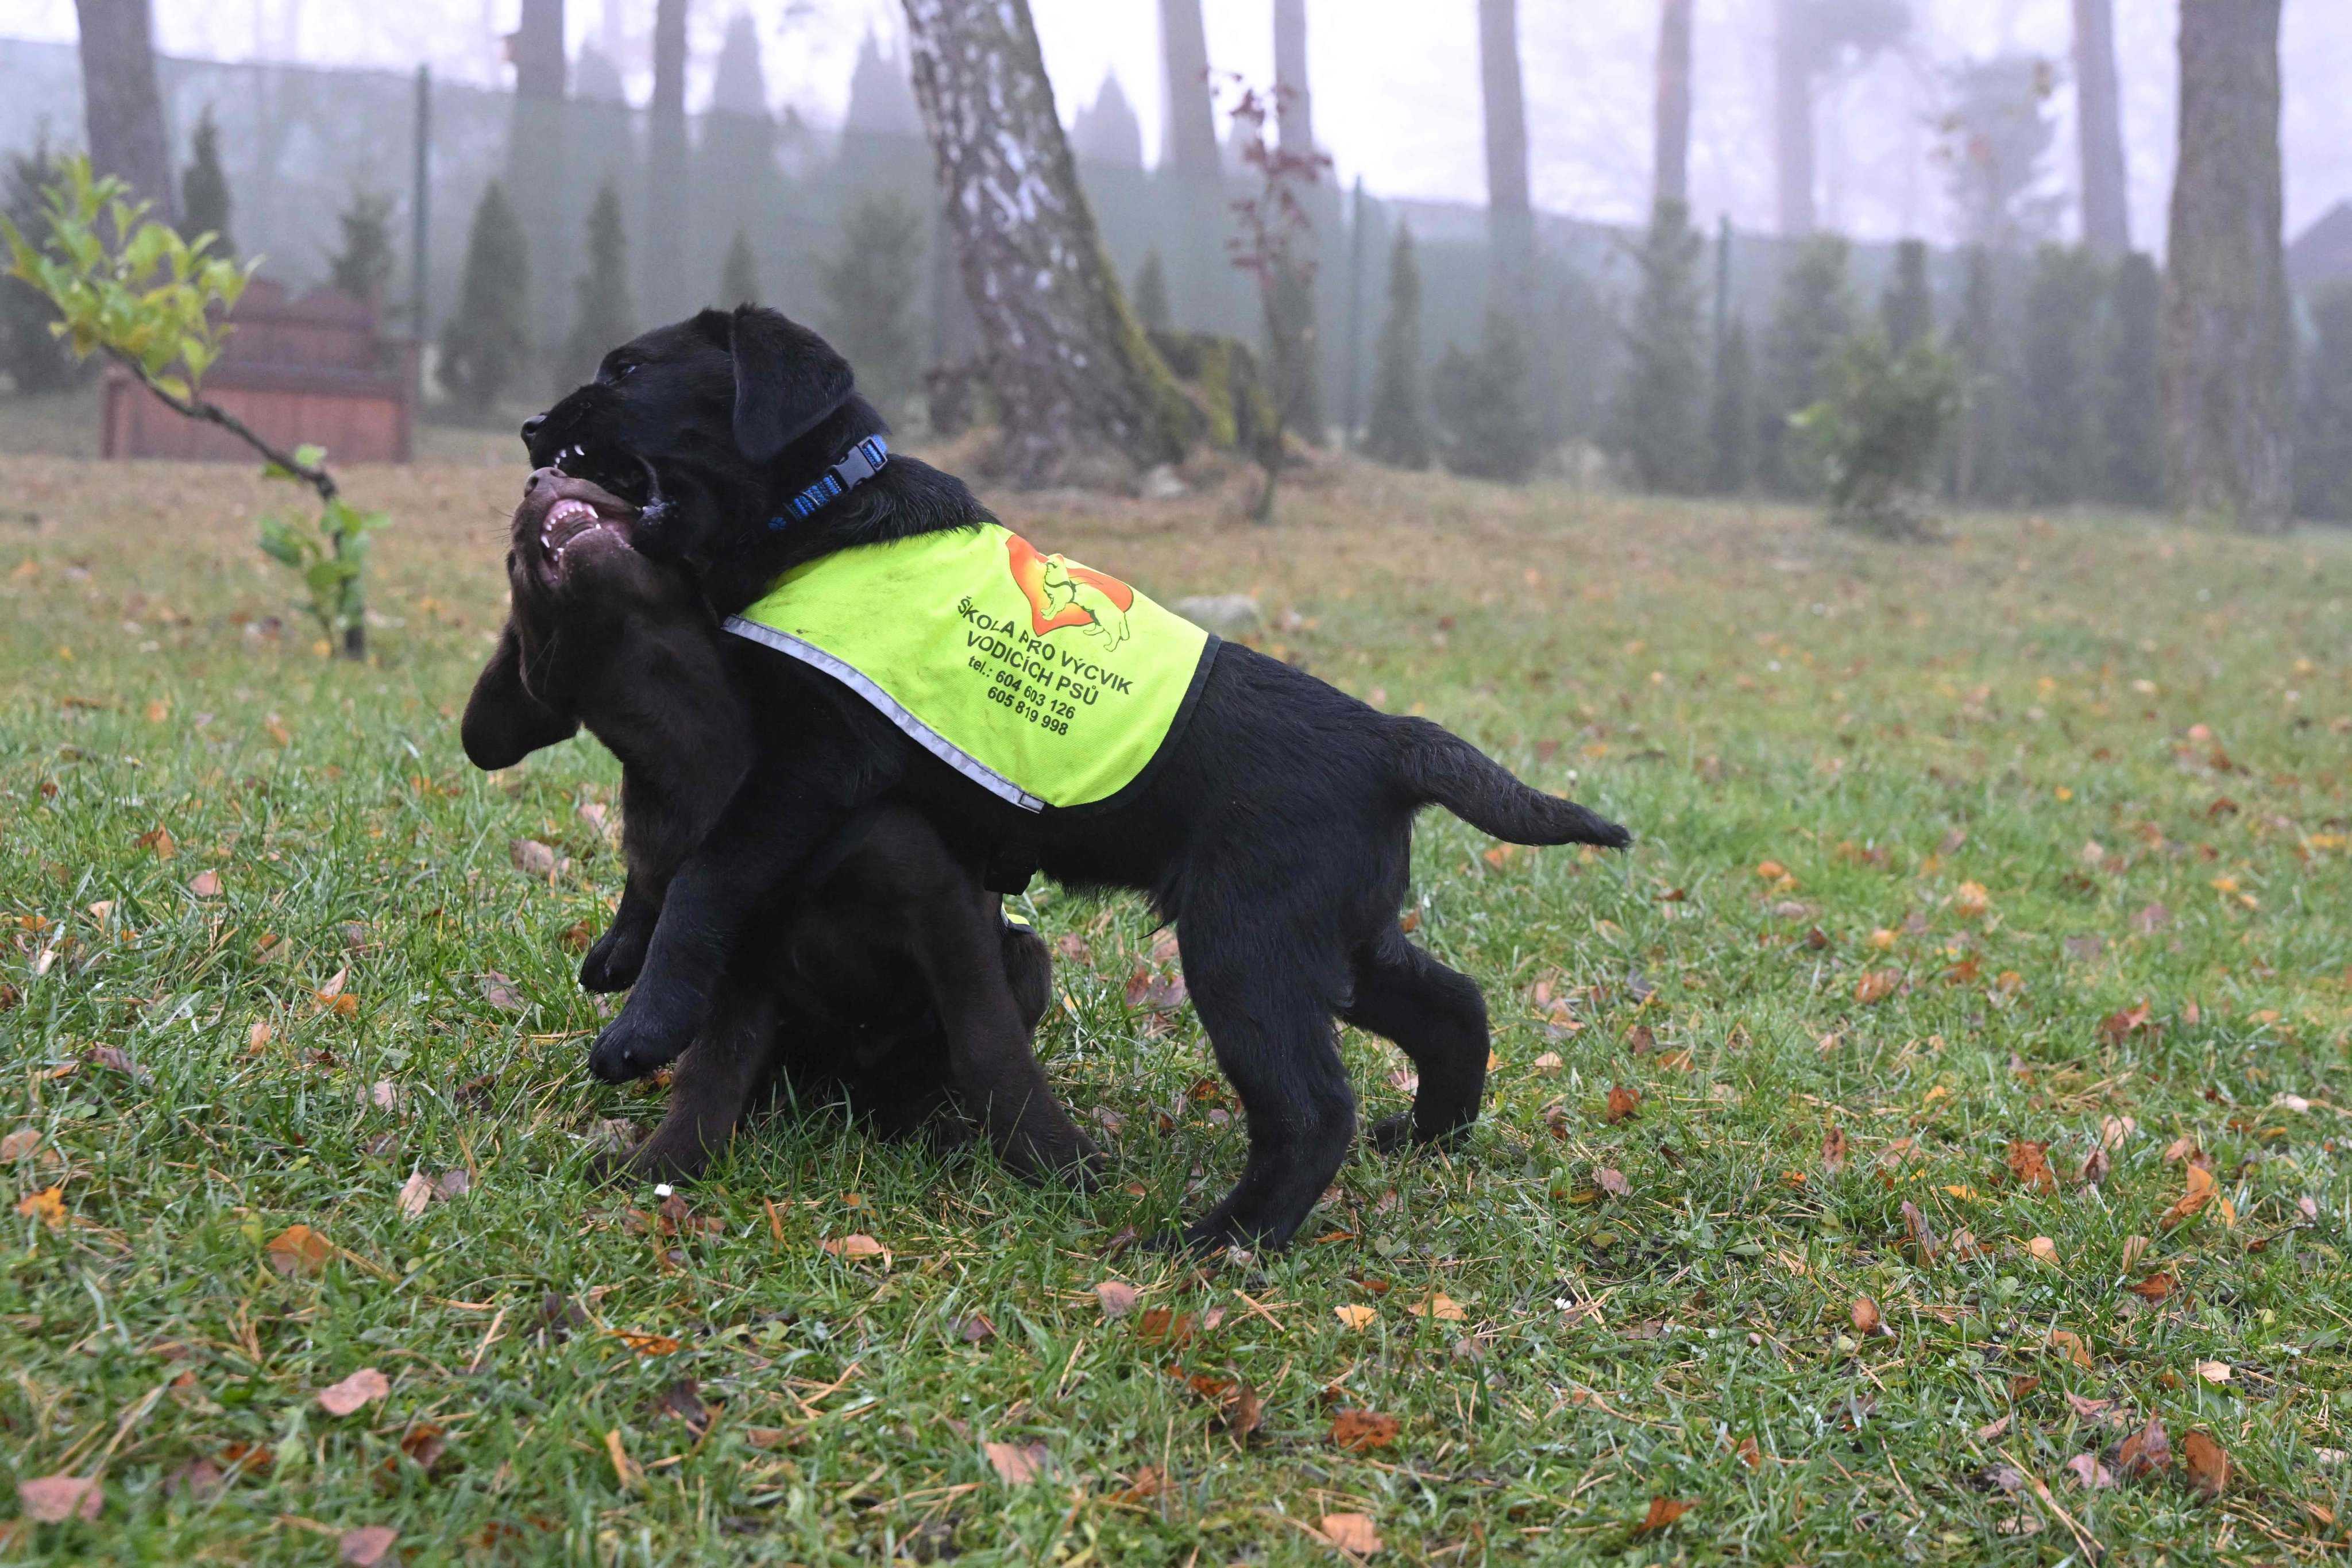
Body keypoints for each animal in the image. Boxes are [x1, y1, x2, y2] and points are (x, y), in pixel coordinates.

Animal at [461, 461, 1100, 1184]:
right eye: (513, 564)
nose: (541, 474)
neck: (696, 742)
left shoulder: (939, 908)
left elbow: (990, 1047)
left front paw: (1064, 1165)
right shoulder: (736, 959)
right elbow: (710, 1075)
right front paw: (661, 1169)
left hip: (1025, 955)